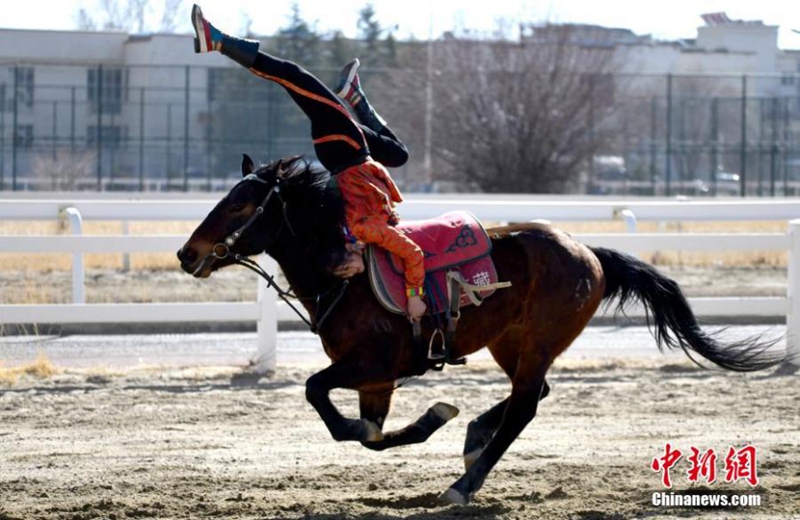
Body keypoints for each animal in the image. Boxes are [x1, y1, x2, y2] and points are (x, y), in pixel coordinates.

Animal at [178, 154, 784, 504]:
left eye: (243, 204)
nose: (188, 254)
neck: (342, 271)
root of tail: (589, 253)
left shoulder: (376, 366)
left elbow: (321, 397)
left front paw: (426, 420)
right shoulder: (377, 380)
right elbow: (370, 433)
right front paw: (437, 417)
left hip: (537, 340)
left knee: (526, 405)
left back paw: (464, 485)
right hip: (509, 343)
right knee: (534, 391)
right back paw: (473, 438)